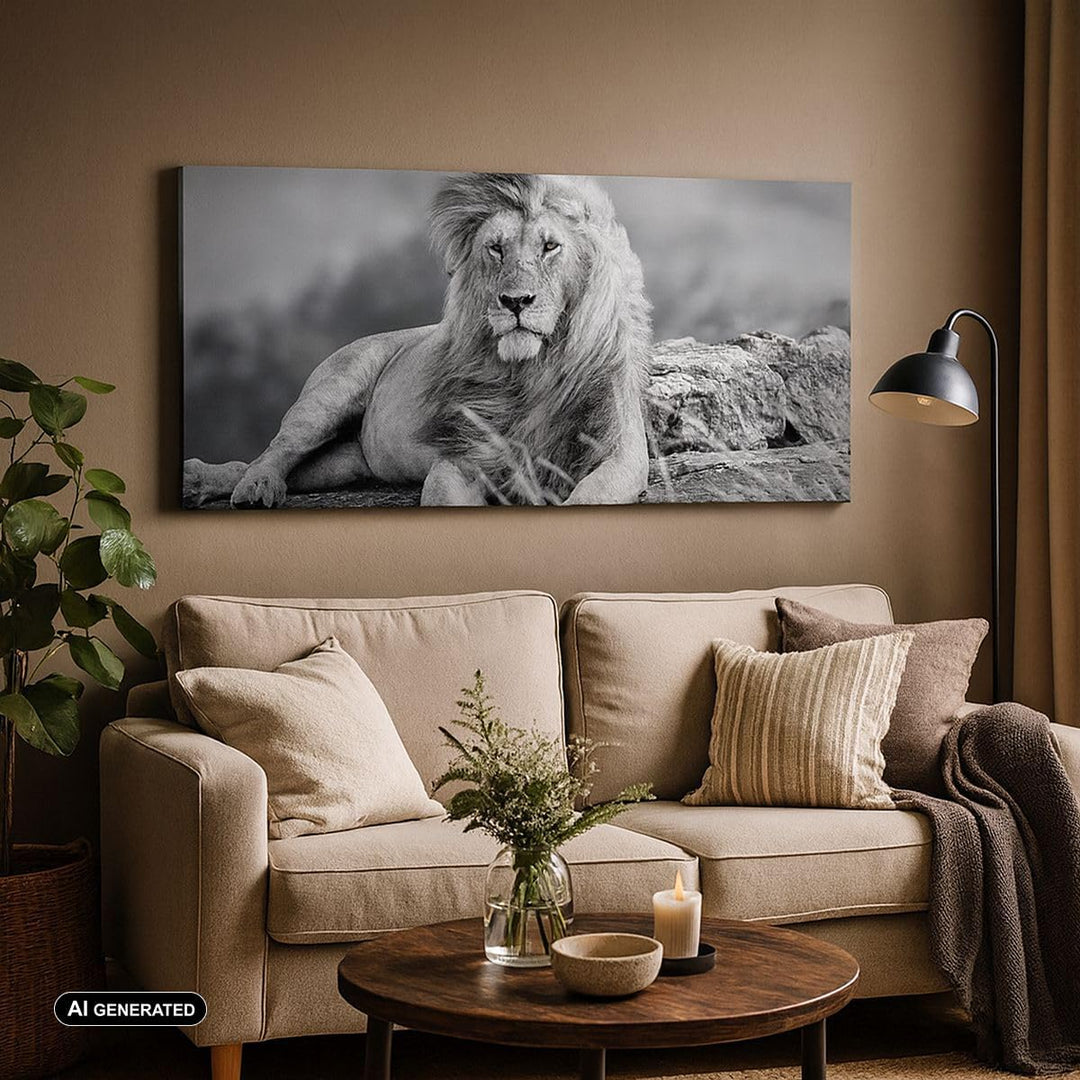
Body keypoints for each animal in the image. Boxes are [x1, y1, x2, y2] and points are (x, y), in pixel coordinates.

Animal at [183, 173, 653, 508]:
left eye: (551, 246)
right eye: (496, 248)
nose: (515, 301)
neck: (534, 368)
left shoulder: (621, 455)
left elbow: (589, 495)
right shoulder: (462, 456)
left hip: (346, 463)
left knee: (285, 467)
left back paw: (206, 480)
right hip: (330, 393)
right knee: (275, 450)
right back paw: (249, 486)